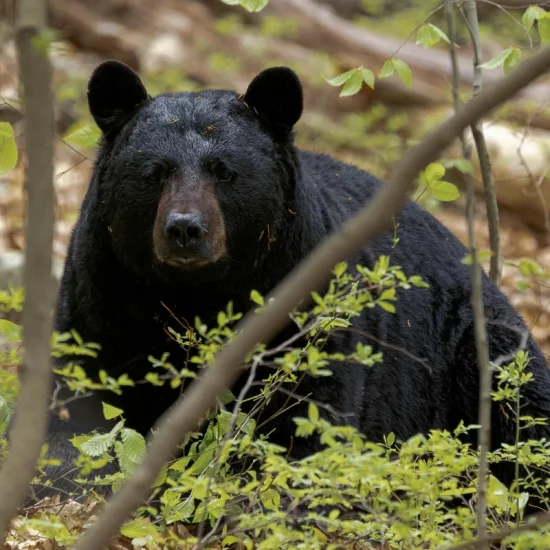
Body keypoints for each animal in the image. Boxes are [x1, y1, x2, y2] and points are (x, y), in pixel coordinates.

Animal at [27, 61, 550, 504]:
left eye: (224, 171)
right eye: (154, 172)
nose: (184, 229)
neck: (196, 294)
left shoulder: (305, 308)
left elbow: (308, 421)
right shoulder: (103, 293)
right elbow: (76, 403)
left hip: (477, 345)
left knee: (525, 411)